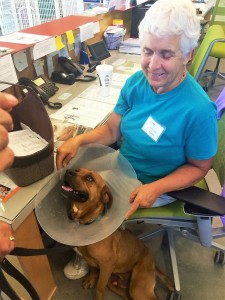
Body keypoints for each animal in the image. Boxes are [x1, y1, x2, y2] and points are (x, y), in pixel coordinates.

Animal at [62, 169, 176, 300]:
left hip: (137, 289)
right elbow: (92, 270)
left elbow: (99, 289)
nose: (68, 171)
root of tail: (153, 263)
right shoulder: (91, 261)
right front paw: (91, 280)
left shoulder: (106, 267)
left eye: (90, 178)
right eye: (77, 170)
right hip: (114, 284)